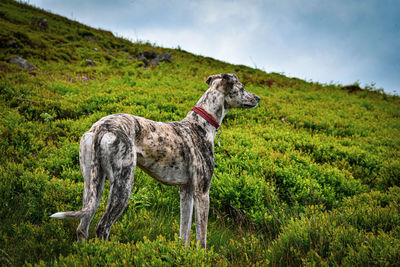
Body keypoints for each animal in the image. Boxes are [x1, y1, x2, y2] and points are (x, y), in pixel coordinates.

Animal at [50, 73, 260, 249]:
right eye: (242, 88)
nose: (258, 98)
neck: (200, 124)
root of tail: (102, 127)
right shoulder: (202, 192)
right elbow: (202, 237)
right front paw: (202, 256)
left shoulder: (186, 192)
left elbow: (184, 231)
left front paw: (183, 254)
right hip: (123, 185)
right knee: (102, 227)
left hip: (93, 184)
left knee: (82, 227)